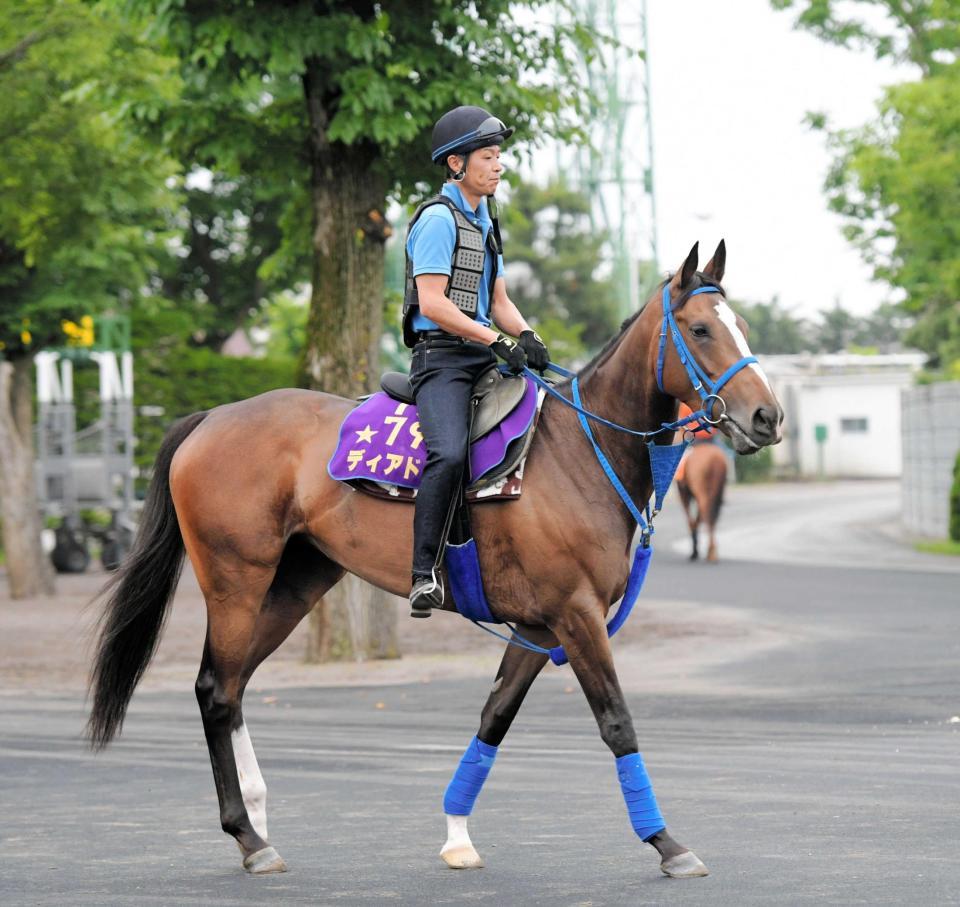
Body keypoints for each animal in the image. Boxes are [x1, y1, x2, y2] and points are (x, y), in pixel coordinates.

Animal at [88, 241, 780, 880]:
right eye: (701, 329)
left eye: (742, 323)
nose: (767, 416)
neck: (579, 451)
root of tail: (212, 418)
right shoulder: (576, 617)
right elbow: (617, 723)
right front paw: (666, 843)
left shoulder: (537, 628)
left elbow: (494, 718)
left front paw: (456, 834)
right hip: (237, 581)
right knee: (214, 689)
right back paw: (247, 835)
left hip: (296, 585)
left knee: (232, 687)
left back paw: (256, 818)